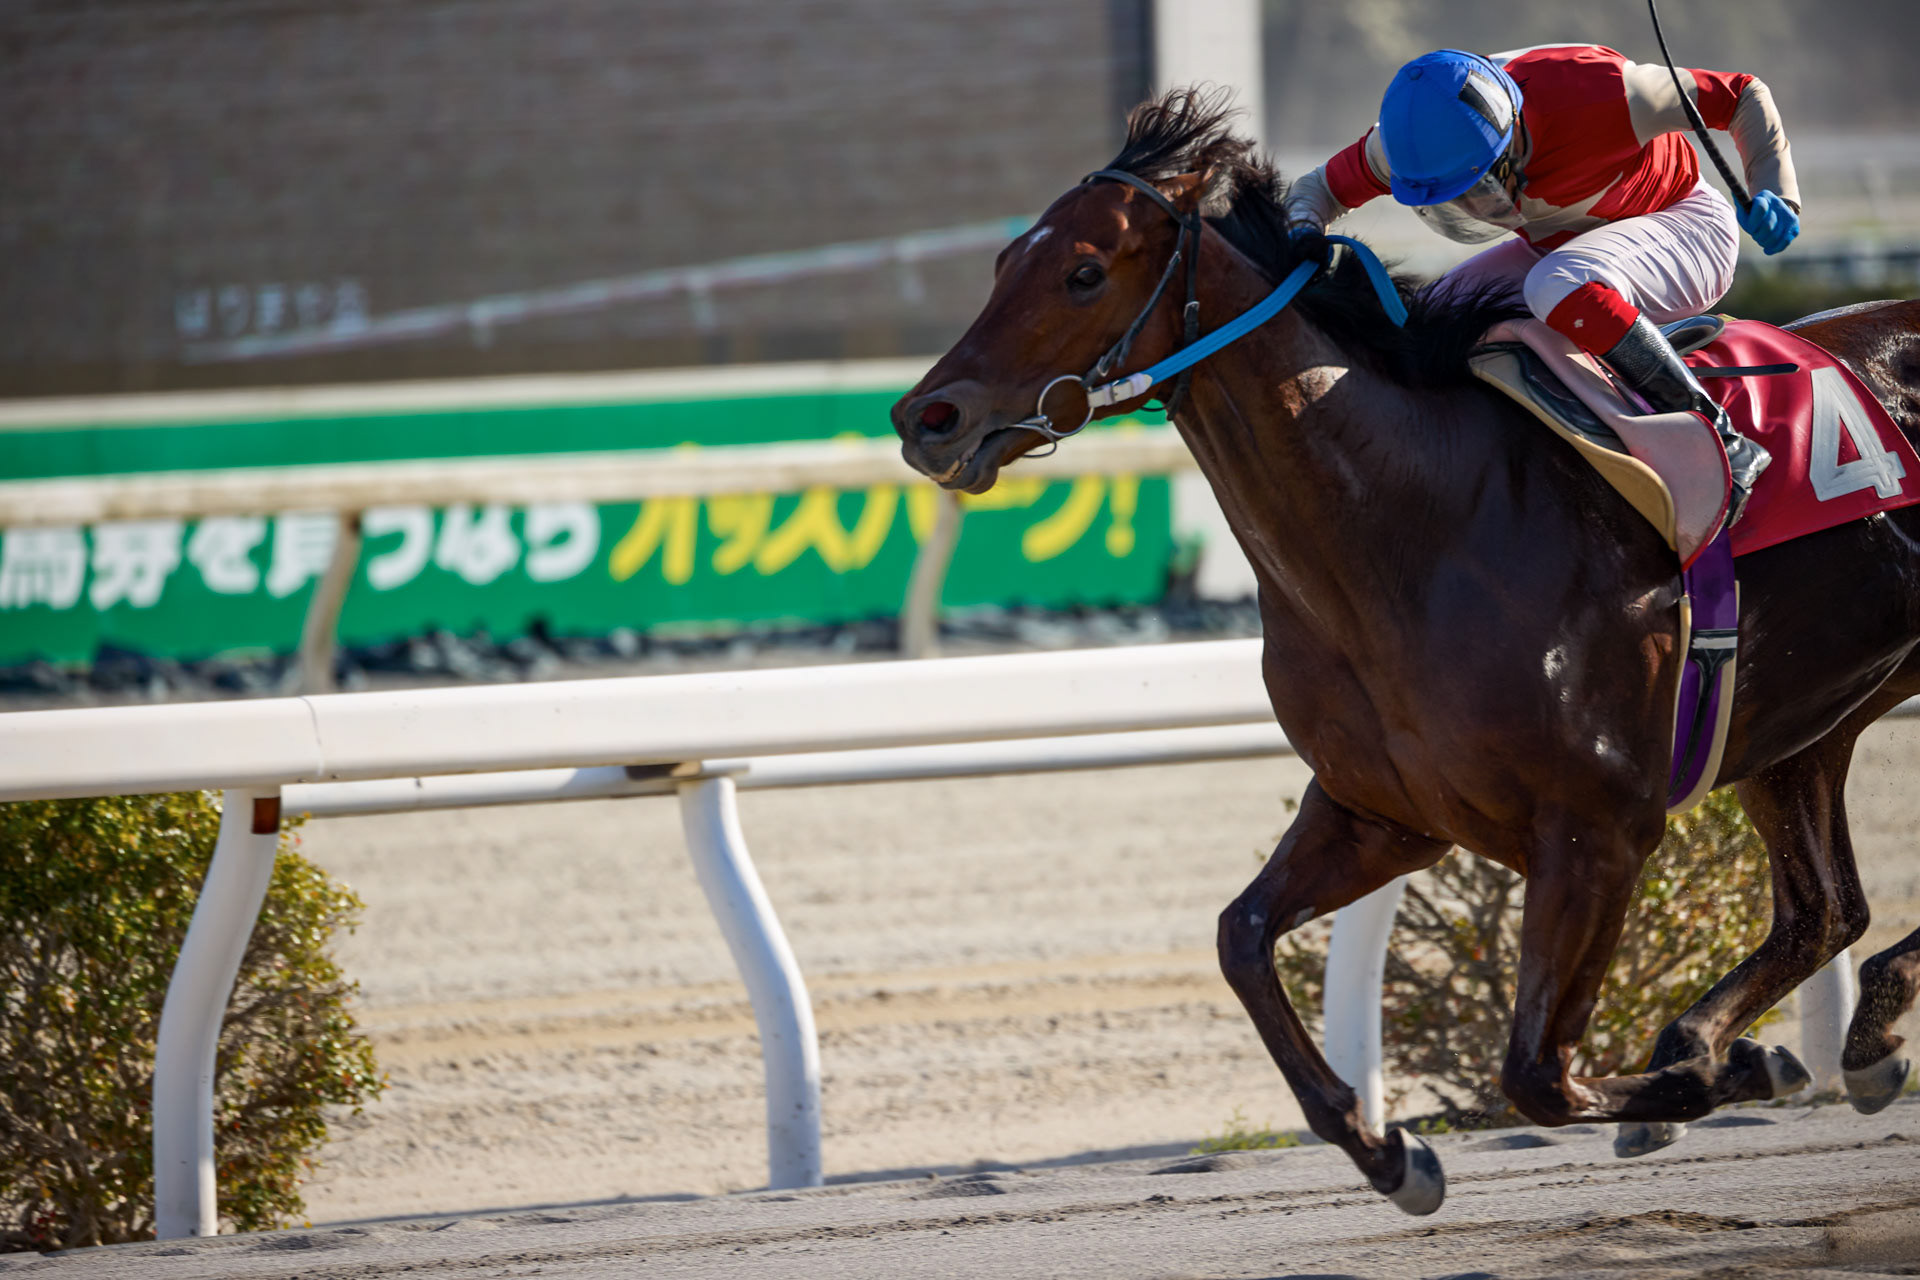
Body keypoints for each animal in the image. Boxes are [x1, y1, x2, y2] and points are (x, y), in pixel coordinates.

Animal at [889, 90, 1920, 1215]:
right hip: (1808, 723)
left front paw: (1725, 1070)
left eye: (1083, 271)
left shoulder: (1600, 830)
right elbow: (1240, 938)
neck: (1422, 523)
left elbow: (1537, 1075)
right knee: (1827, 910)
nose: (925, 417)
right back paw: (1845, 1035)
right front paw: (1390, 1151)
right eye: (1003, 261)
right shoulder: (1383, 812)